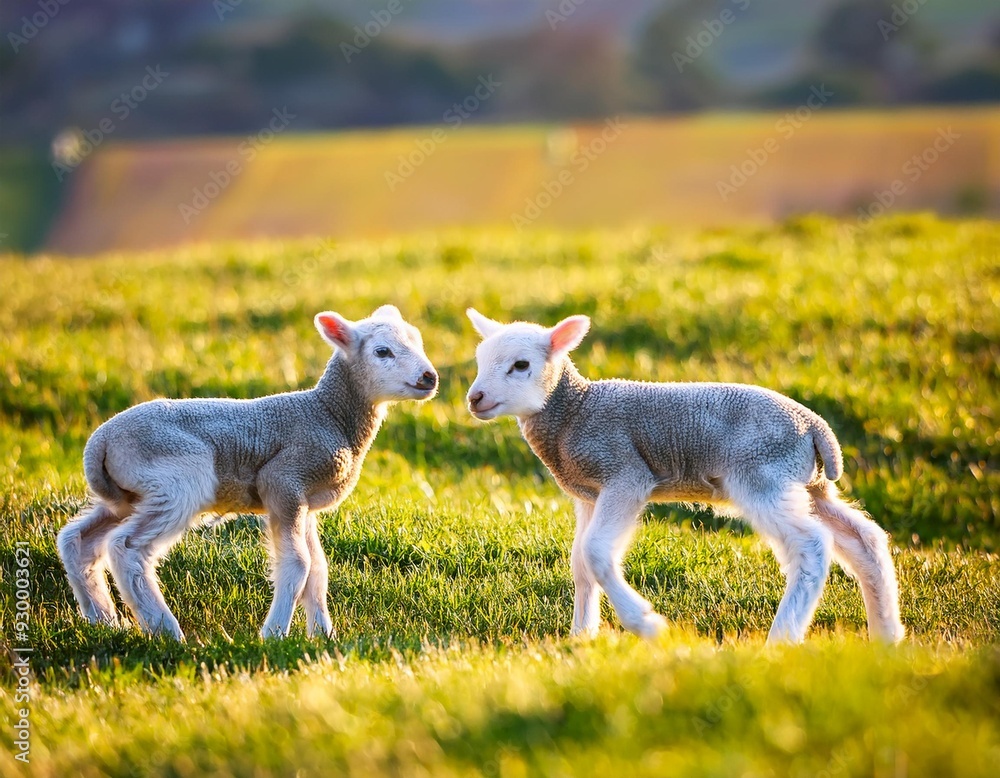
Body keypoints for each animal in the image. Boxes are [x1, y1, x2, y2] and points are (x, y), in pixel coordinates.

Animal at [57, 304, 438, 641]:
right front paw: (274, 634)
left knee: (79, 541)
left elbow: (318, 570)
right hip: (177, 481)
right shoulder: (283, 480)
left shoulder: (305, 502)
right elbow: (298, 565)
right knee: (127, 549)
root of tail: (100, 442)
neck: (327, 414)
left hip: (130, 495)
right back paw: (165, 630)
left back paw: (103, 620)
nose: (429, 377)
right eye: (382, 351)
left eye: (419, 341)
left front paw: (323, 636)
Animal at [465, 309, 905, 644]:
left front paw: (646, 624)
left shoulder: (625, 475)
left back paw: (782, 638)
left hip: (761, 475)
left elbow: (595, 553)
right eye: (480, 361)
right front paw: (581, 637)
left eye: (521, 365)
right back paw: (886, 637)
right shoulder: (589, 494)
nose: (475, 398)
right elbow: (579, 563)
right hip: (808, 485)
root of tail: (816, 429)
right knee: (865, 540)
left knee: (811, 546)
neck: (574, 410)